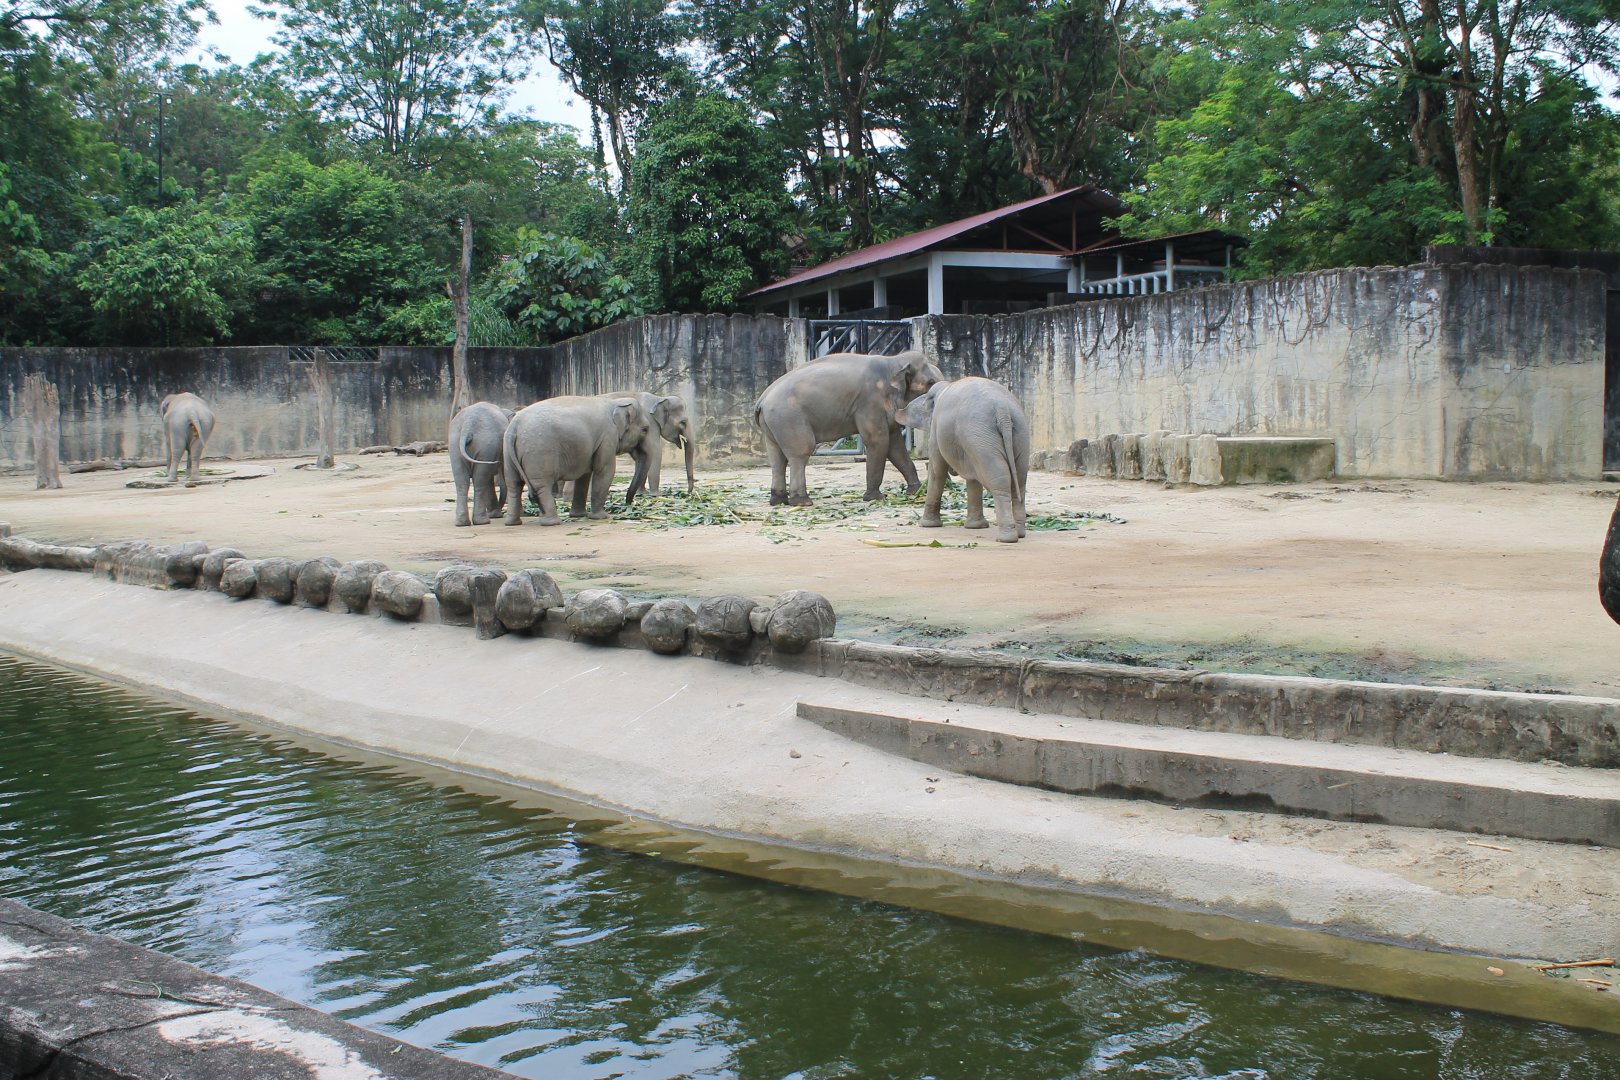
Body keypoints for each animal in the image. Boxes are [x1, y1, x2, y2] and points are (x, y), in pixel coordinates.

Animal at [503, 395, 650, 526]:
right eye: (645, 429)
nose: (629, 505)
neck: (615, 402)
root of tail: (514, 425)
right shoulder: (608, 437)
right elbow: (604, 471)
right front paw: (602, 517)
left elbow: (584, 476)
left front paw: (579, 515)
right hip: (539, 452)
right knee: (541, 486)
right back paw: (552, 522)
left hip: (509, 455)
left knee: (514, 485)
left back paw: (513, 523)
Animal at [753, 349, 943, 505]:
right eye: (930, 382)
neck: (894, 361)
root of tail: (762, 399)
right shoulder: (870, 402)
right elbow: (878, 441)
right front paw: (875, 498)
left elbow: (895, 446)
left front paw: (916, 491)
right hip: (789, 417)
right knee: (800, 452)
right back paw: (802, 502)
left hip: (773, 423)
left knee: (777, 458)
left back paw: (778, 501)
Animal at [895, 376, 1030, 543]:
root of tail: (1002, 410)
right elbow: (973, 479)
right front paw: (976, 527)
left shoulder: (936, 429)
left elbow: (937, 470)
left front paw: (926, 525)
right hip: (1016, 434)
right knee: (1019, 480)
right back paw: (1020, 533)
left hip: (981, 436)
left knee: (999, 481)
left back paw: (1006, 538)